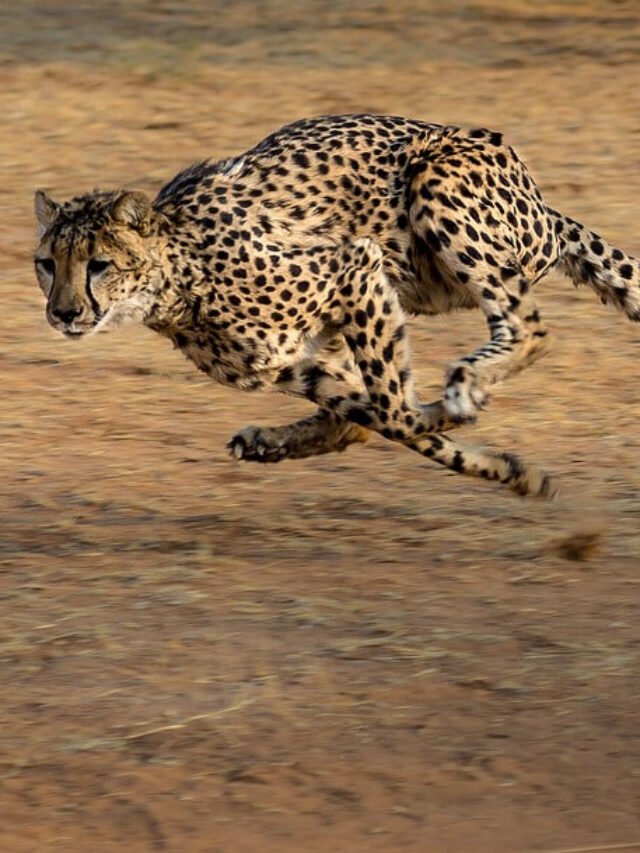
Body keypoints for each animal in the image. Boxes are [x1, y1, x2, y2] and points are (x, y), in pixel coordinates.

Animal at [33, 114, 640, 498]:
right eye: (46, 264)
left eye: (98, 264)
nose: (63, 313)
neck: (175, 279)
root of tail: (543, 204)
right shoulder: (294, 362)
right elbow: (376, 420)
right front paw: (509, 469)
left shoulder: (356, 266)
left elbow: (395, 414)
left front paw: (455, 413)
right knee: (357, 422)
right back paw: (269, 442)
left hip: (436, 184)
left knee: (531, 328)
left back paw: (467, 385)